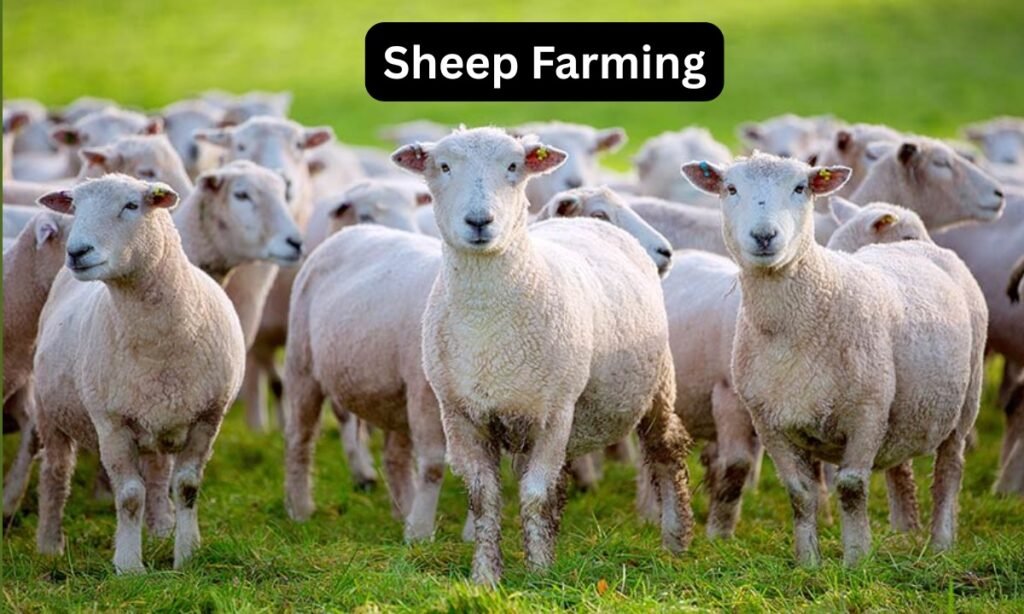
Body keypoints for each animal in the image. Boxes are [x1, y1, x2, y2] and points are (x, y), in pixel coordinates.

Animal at [32, 176, 246, 573]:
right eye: (75, 208)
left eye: (131, 206)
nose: (77, 252)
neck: (158, 347)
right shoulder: (111, 424)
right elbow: (130, 495)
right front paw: (130, 566)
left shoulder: (209, 417)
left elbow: (187, 486)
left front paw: (187, 554)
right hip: (48, 411)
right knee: (55, 472)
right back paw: (49, 543)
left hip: (158, 415)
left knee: (159, 472)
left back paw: (161, 528)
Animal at [396, 127, 692, 585]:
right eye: (443, 166)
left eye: (513, 166)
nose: (479, 222)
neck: (485, 319)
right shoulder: (461, 414)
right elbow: (485, 498)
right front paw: (486, 577)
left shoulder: (555, 414)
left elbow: (535, 494)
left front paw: (539, 574)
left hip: (656, 385)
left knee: (666, 452)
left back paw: (676, 540)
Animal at [681, 153, 986, 566]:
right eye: (730, 188)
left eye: (800, 188)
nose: (764, 236)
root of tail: (927, 250)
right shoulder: (770, 421)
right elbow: (799, 493)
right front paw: (808, 562)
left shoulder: (868, 412)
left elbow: (852, 488)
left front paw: (856, 560)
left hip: (967, 399)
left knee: (950, 467)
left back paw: (941, 542)